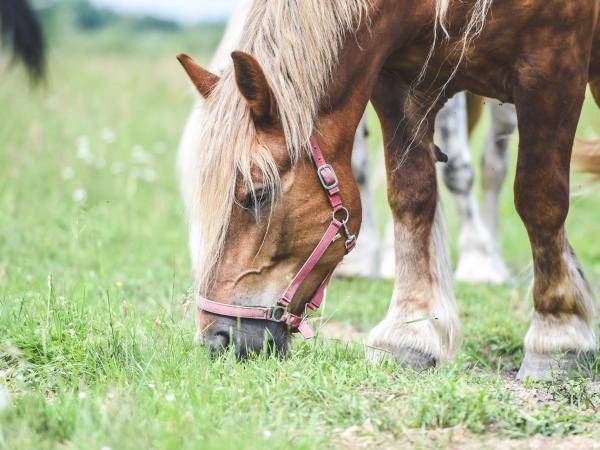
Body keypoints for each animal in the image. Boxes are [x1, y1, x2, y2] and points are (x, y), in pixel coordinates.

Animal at [178, 0, 600, 380]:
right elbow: (412, 195)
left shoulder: (552, 66)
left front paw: (558, 335)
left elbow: (538, 197)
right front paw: (409, 332)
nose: (217, 338)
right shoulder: (395, 79)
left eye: (257, 194)